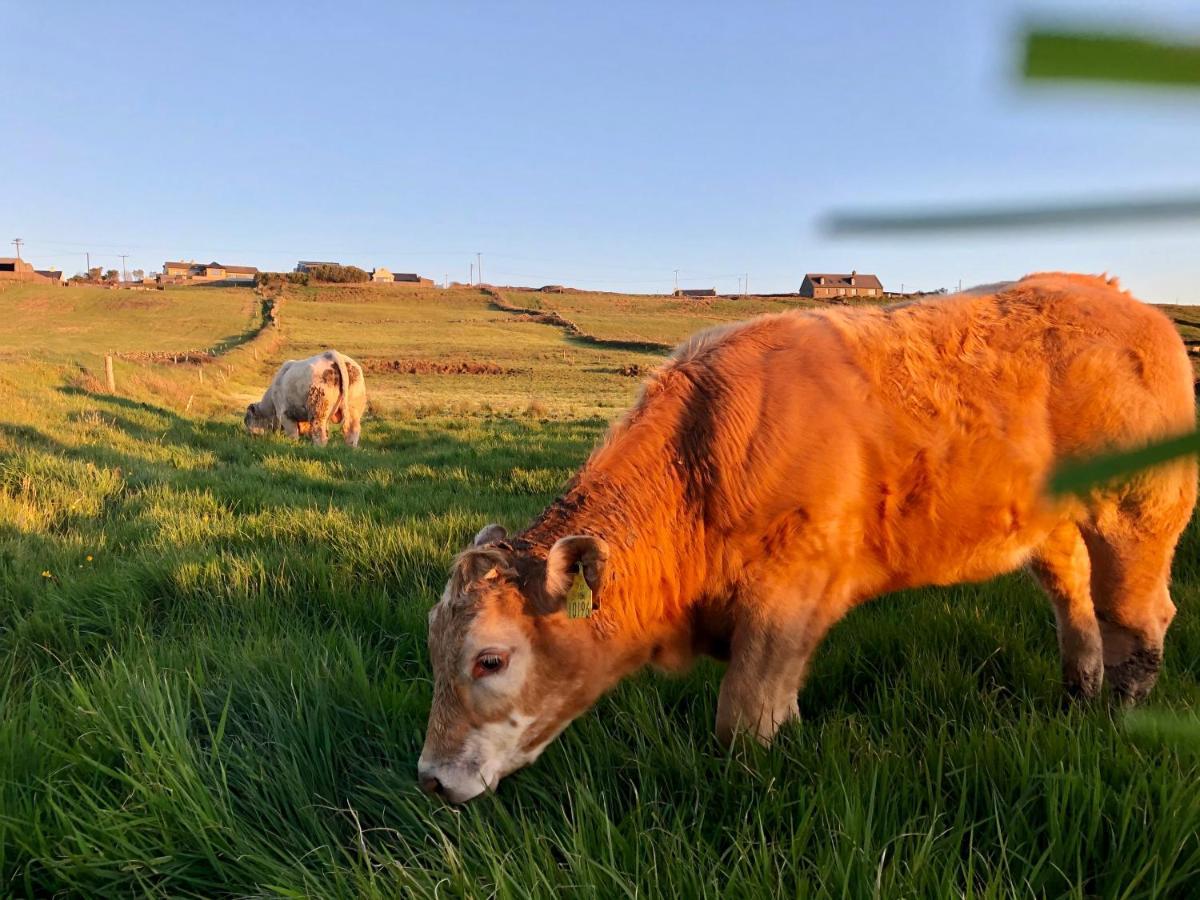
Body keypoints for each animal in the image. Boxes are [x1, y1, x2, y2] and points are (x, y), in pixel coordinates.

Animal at [417, 273, 1195, 801]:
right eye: (433, 650)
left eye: (490, 659)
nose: (430, 778)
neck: (704, 461)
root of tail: (1130, 306)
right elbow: (780, 698)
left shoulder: (786, 593)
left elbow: (745, 717)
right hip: (1054, 529)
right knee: (1076, 607)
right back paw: (1076, 697)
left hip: (1137, 514)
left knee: (1138, 617)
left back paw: (1118, 715)